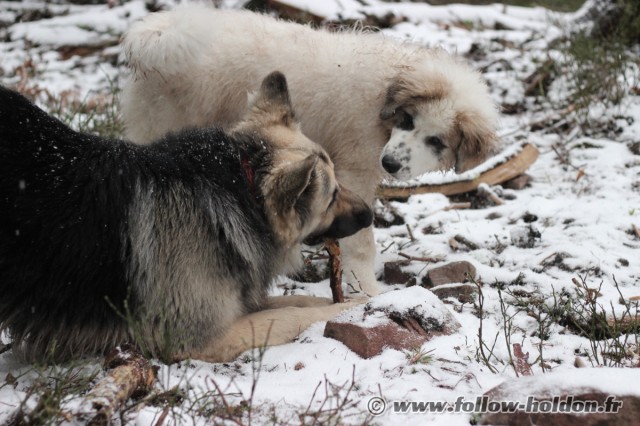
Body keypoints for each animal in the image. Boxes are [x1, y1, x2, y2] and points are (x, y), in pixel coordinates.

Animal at [120, 4, 500, 296]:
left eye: (436, 141)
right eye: (407, 120)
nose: (390, 163)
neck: (384, 92)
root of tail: (160, 34)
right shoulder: (355, 169)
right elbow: (363, 241)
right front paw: (368, 292)